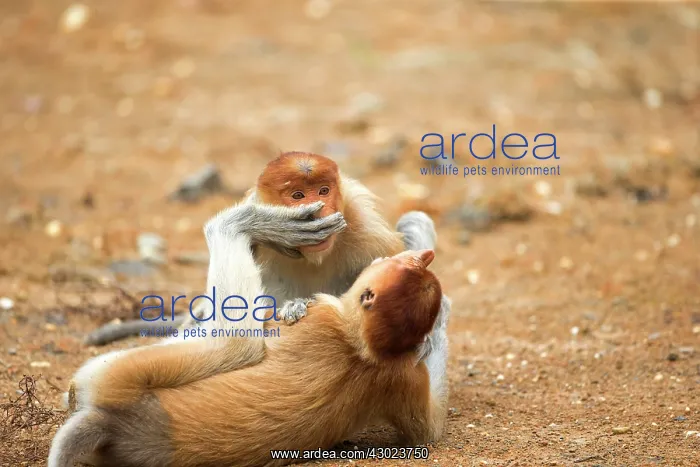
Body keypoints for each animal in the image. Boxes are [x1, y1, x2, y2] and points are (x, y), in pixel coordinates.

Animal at [48, 208, 449, 467]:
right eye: (407, 266)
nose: (420, 256)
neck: (364, 346)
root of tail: (116, 425)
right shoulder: (400, 375)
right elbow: (428, 430)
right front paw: (432, 331)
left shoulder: (321, 317)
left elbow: (241, 343)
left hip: (112, 379)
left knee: (230, 345)